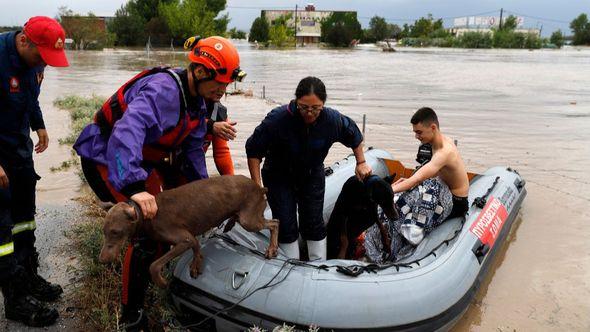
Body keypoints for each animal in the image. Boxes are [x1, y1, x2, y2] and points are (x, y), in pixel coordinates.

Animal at [98, 175, 280, 286]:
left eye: (116, 232)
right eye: (104, 232)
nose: (102, 260)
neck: (146, 215)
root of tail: (260, 187)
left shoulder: (183, 239)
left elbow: (154, 266)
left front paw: (162, 282)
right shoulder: (190, 238)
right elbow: (196, 246)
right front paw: (196, 263)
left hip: (249, 220)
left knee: (275, 223)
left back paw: (272, 249)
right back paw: (229, 223)